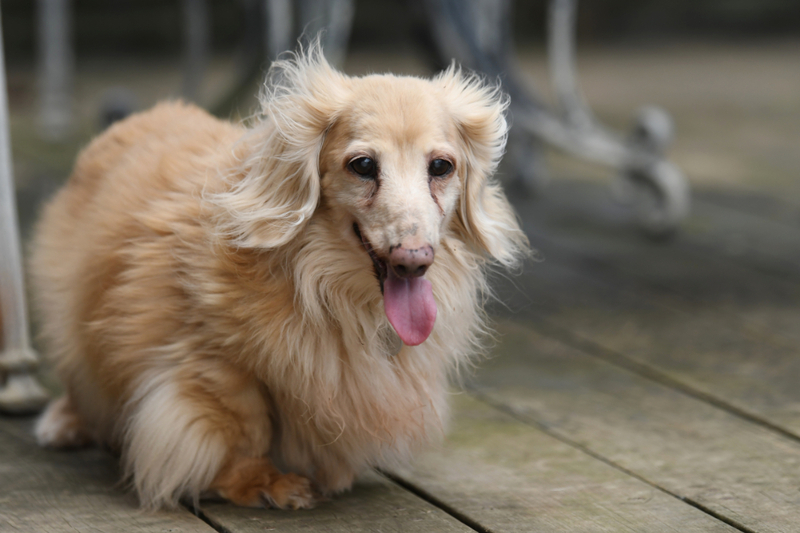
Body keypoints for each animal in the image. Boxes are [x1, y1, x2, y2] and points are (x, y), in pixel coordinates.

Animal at [30, 45, 528, 510]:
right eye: (363, 165)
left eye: (441, 166)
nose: (414, 259)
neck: (332, 293)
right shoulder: (216, 363)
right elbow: (244, 423)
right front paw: (262, 482)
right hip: (70, 318)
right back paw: (64, 422)